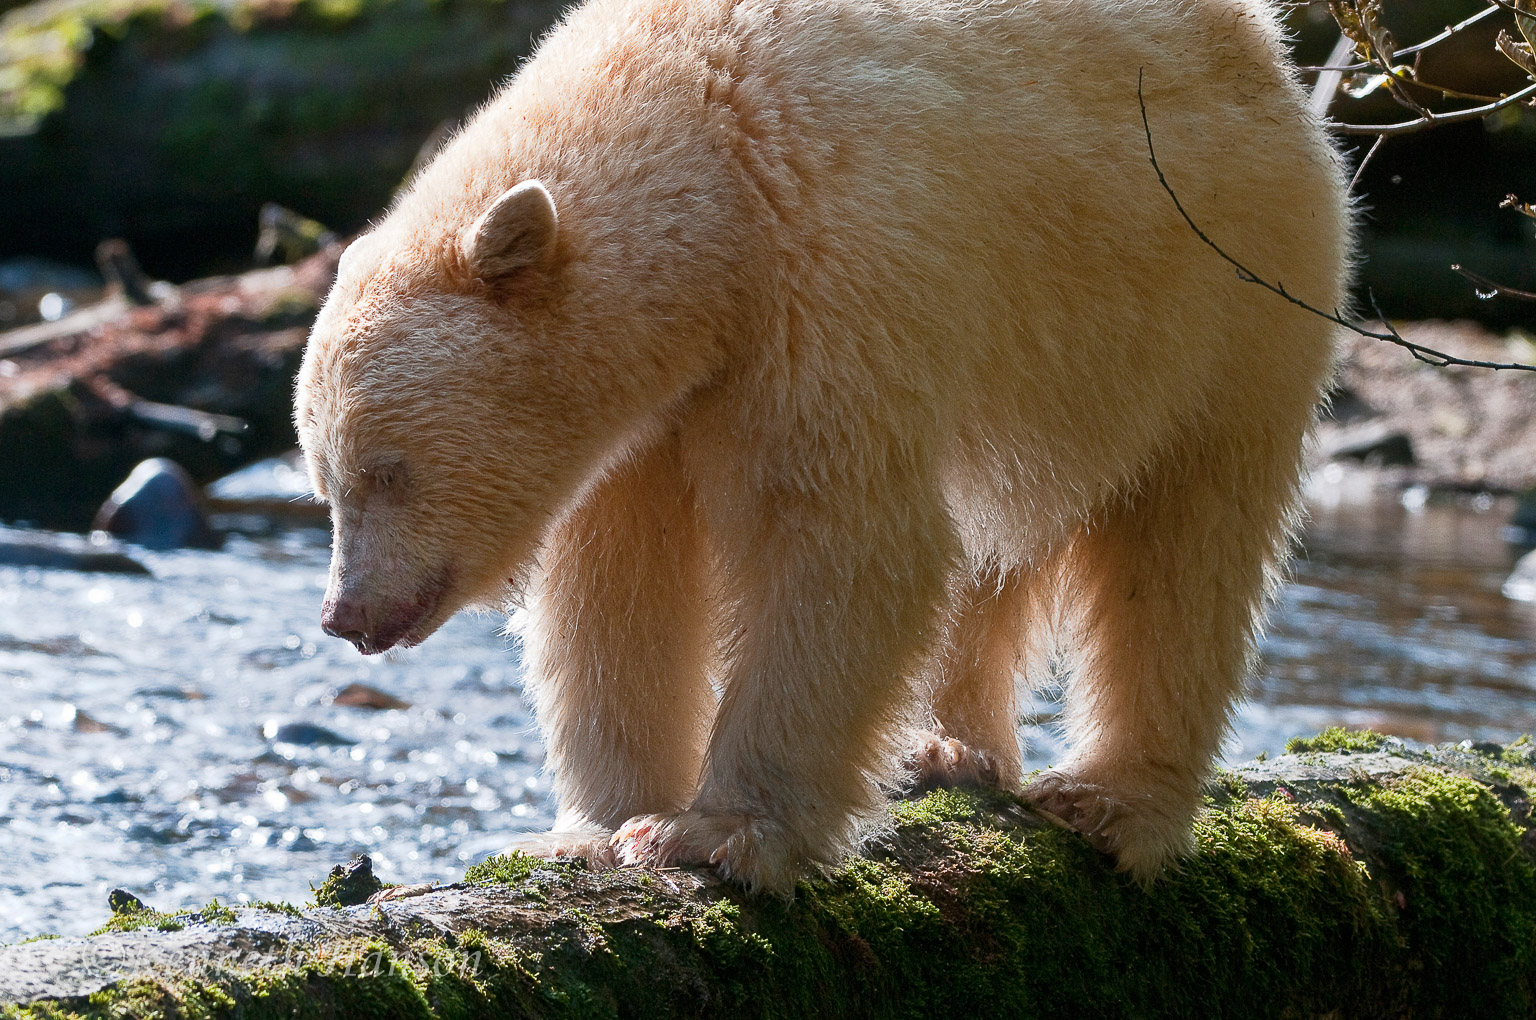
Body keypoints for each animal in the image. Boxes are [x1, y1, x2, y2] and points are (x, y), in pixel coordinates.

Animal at [296, 0, 1345, 890]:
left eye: (387, 470)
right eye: (325, 483)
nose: (345, 614)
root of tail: (1265, 44)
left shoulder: (833, 276)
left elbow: (836, 537)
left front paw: (715, 834)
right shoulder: (656, 412)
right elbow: (618, 583)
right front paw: (595, 827)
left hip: (1221, 295)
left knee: (1183, 544)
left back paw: (1113, 803)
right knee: (999, 542)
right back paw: (945, 748)